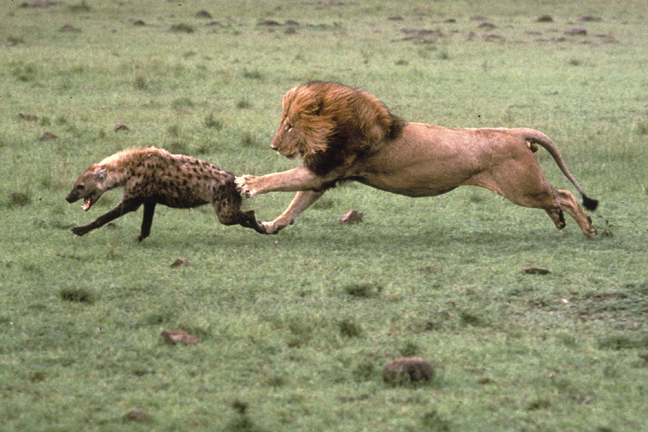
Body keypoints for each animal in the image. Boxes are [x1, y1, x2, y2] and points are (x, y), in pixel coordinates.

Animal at [236, 81, 598, 237]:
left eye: (289, 125)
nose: (272, 146)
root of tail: (513, 132)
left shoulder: (326, 169)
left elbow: (280, 179)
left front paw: (248, 183)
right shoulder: (324, 176)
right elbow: (294, 206)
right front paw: (271, 225)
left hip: (521, 189)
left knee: (566, 195)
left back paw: (587, 227)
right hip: (526, 189)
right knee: (555, 197)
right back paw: (559, 220)